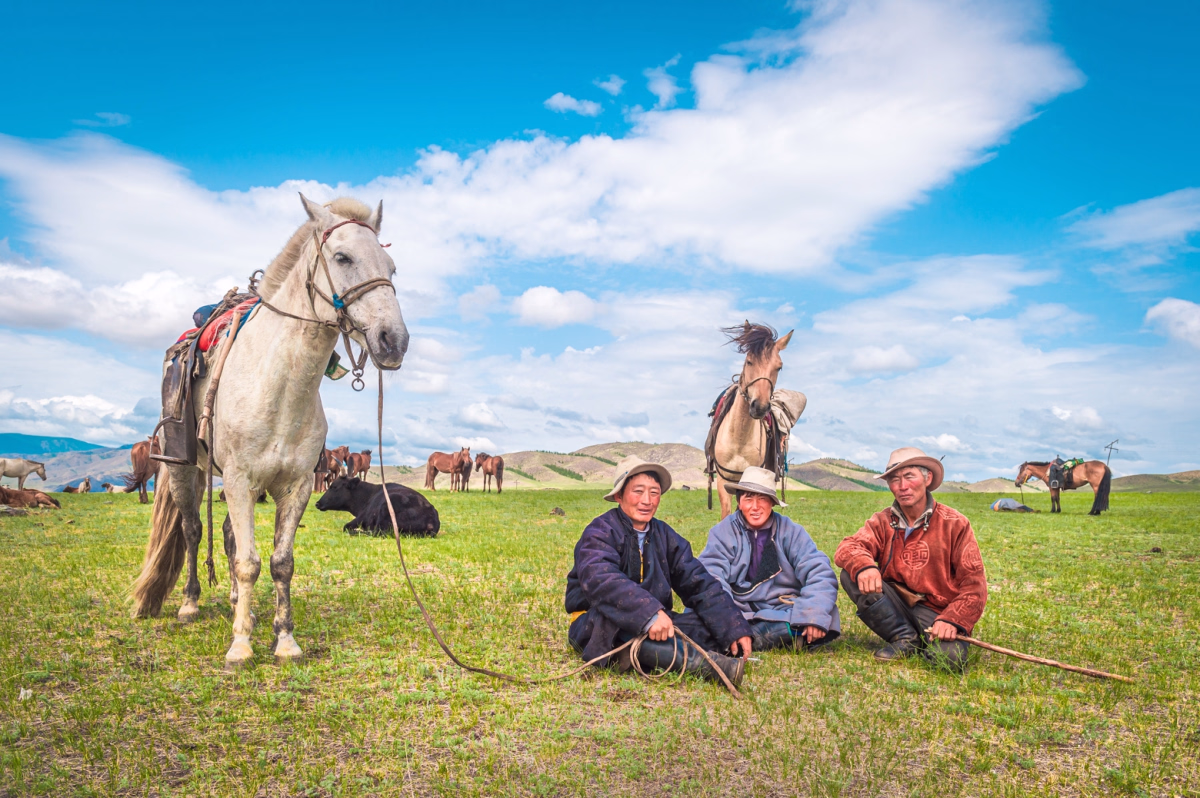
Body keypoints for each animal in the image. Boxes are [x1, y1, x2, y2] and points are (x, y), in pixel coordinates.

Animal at [130, 194, 408, 667]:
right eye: (342, 257)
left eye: (390, 268)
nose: (394, 340)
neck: (279, 387)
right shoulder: (240, 480)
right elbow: (247, 561)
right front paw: (241, 646)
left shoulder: (293, 486)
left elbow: (279, 562)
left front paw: (284, 640)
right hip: (189, 471)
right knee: (193, 530)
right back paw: (190, 603)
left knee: (226, 534)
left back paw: (236, 603)